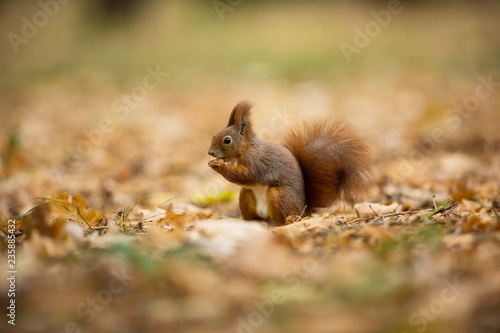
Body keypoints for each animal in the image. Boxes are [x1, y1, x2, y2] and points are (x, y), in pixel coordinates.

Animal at [207, 101, 372, 226]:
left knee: (281, 219)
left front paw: (219, 166)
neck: (247, 148)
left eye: (227, 140)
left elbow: (247, 175)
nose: (210, 153)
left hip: (278, 196)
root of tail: (302, 211)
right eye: (214, 135)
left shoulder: (256, 161)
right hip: (246, 194)